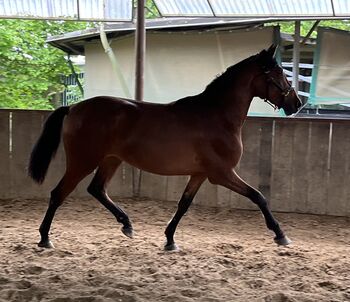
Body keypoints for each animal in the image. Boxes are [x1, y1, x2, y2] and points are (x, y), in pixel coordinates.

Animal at [28, 44, 300, 251]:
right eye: (279, 73)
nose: (296, 103)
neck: (217, 115)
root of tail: (73, 108)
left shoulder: (200, 174)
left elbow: (183, 205)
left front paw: (170, 240)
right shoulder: (221, 173)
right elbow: (258, 196)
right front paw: (280, 235)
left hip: (111, 159)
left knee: (96, 189)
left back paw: (126, 224)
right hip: (83, 161)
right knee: (58, 193)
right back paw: (45, 238)